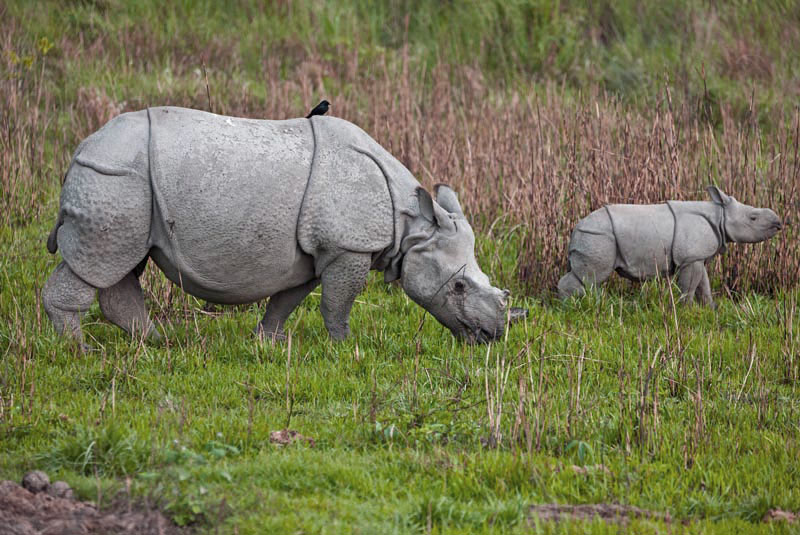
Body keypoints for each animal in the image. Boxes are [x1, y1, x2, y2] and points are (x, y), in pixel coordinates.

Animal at [42, 107, 512, 350]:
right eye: (459, 288)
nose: (492, 335)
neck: (410, 225)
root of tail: (81, 149)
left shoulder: (314, 252)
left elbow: (288, 299)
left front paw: (268, 343)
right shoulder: (348, 246)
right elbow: (338, 303)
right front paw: (346, 348)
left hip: (128, 186)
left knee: (123, 264)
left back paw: (159, 342)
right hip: (115, 179)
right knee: (101, 261)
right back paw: (80, 350)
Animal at [556, 187, 780, 306]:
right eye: (753, 218)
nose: (778, 222)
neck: (719, 215)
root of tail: (576, 229)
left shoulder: (696, 256)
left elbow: (703, 284)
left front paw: (710, 308)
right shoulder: (690, 258)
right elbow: (690, 285)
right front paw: (685, 309)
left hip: (593, 236)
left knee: (587, 277)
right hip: (598, 236)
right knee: (592, 276)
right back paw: (579, 305)